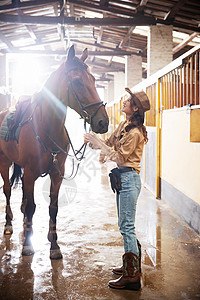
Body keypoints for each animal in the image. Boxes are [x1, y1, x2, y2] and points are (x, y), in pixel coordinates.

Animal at [0, 45, 108, 260]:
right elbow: (32, 207)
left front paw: (54, 245)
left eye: (93, 80)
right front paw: (27, 246)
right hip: (4, 162)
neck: (47, 127)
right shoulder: (31, 173)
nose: (103, 122)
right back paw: (9, 225)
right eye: (77, 81)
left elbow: (53, 207)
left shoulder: (57, 173)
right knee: (7, 191)